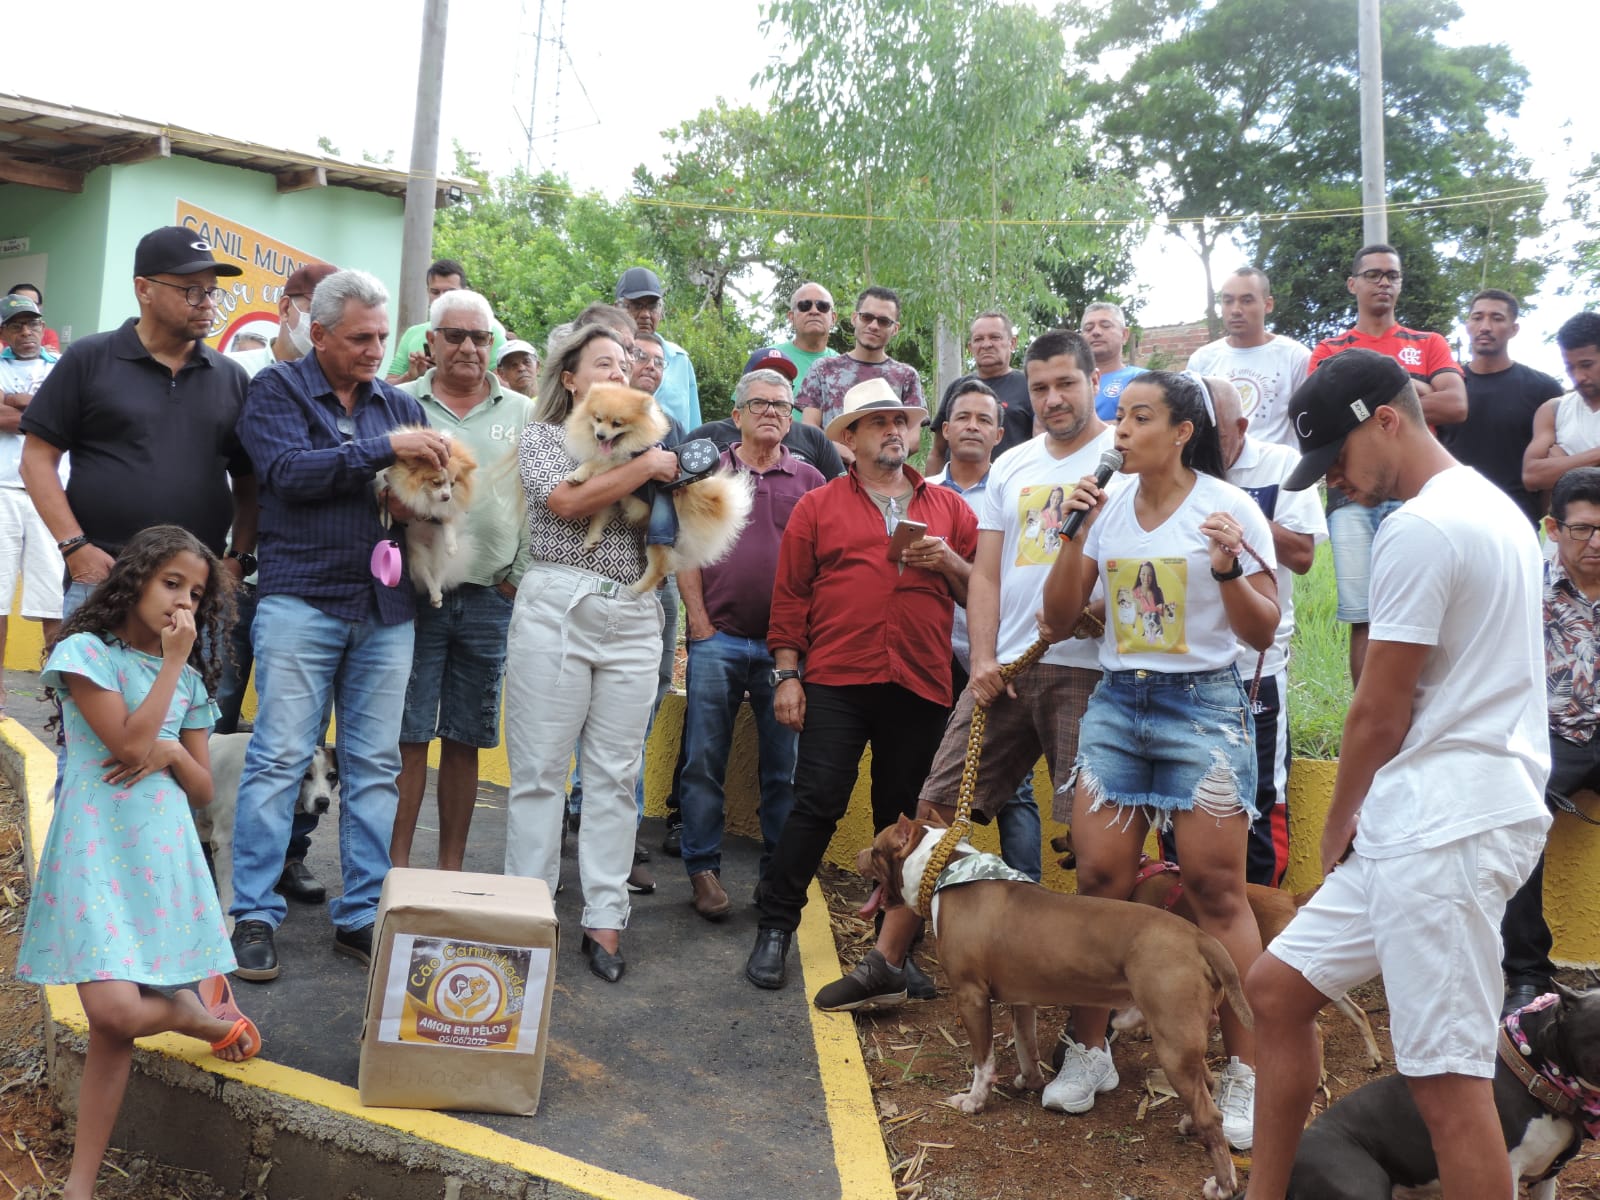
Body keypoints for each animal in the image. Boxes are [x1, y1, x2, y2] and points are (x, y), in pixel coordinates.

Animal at [379, 428, 476, 604]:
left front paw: (451, 545)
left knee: (439, 573)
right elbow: (383, 498)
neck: (424, 495)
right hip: (416, 554)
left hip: (439, 554)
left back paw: (437, 594)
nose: (447, 497)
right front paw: (386, 518)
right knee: (426, 573)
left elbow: (448, 521)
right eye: (436, 482)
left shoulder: (446, 509)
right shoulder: (387, 485)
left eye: (452, 484)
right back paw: (435, 594)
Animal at [563, 382, 755, 595]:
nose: (600, 435)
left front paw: (578, 475)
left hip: (661, 526)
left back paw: (635, 589)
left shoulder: (625, 461)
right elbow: (599, 514)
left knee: (661, 567)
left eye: (617, 424)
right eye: (597, 419)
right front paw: (592, 538)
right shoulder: (612, 495)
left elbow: (595, 463)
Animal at [870, 819, 1254, 1200]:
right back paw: (1190, 1124)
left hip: (1173, 1042)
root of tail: (1200, 938)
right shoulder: (1021, 998)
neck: (949, 867)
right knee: (1206, 1084)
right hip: (1184, 1039)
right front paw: (1029, 1080)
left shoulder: (971, 996)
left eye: (874, 850)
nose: (861, 857)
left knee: (1210, 1114)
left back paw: (1223, 1184)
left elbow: (983, 1061)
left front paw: (974, 1100)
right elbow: (1025, 1044)